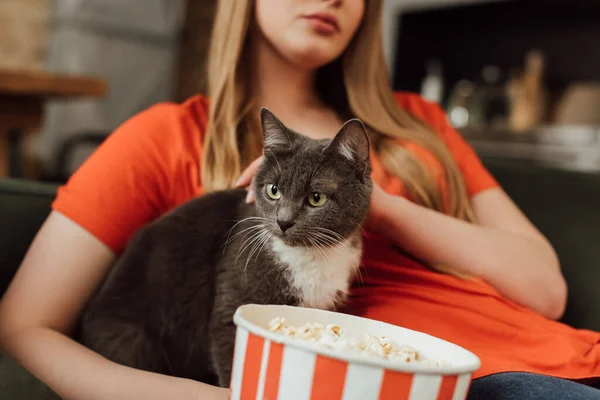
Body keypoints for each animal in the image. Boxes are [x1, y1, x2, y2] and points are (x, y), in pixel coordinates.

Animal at [78, 108, 372, 388]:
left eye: (316, 198)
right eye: (273, 190)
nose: (283, 221)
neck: (311, 256)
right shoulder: (231, 304)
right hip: (133, 341)